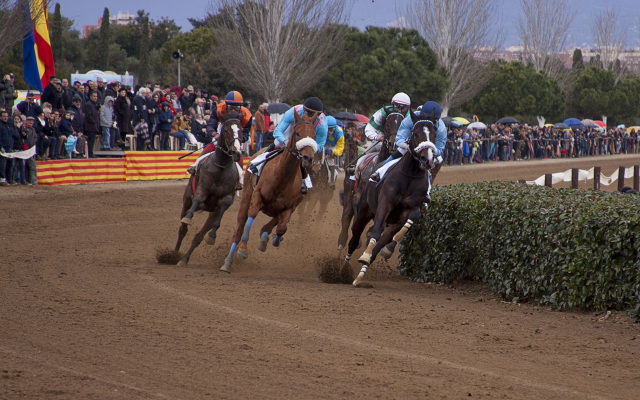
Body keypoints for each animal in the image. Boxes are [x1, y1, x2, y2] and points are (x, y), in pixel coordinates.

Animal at [172, 114, 242, 268]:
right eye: (226, 130)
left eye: (241, 130)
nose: (237, 153)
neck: (221, 167)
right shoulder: (201, 190)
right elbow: (198, 198)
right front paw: (189, 217)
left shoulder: (227, 197)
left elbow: (225, 204)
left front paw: (212, 236)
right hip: (186, 200)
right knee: (182, 229)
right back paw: (173, 255)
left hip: (212, 212)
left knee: (198, 236)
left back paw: (184, 258)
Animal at [221, 109, 318, 272]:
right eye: (298, 133)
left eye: (314, 134)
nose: (307, 157)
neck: (282, 177)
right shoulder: (257, 195)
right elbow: (252, 215)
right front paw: (243, 250)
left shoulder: (290, 206)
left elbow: (282, 228)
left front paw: (270, 239)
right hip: (247, 193)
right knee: (240, 225)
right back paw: (227, 261)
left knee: (275, 222)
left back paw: (265, 236)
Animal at [338, 111, 402, 250]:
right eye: (387, 124)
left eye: (403, 123)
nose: (394, 144)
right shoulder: (359, 195)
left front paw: (369, 235)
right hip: (348, 191)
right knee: (346, 217)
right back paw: (342, 240)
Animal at [344, 112, 440, 286]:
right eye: (415, 133)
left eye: (434, 134)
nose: (427, 159)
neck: (410, 175)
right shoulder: (385, 203)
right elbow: (375, 233)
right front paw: (364, 254)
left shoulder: (410, 210)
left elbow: (412, 216)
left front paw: (397, 238)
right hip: (363, 211)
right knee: (354, 238)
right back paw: (343, 270)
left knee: (380, 244)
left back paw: (360, 274)